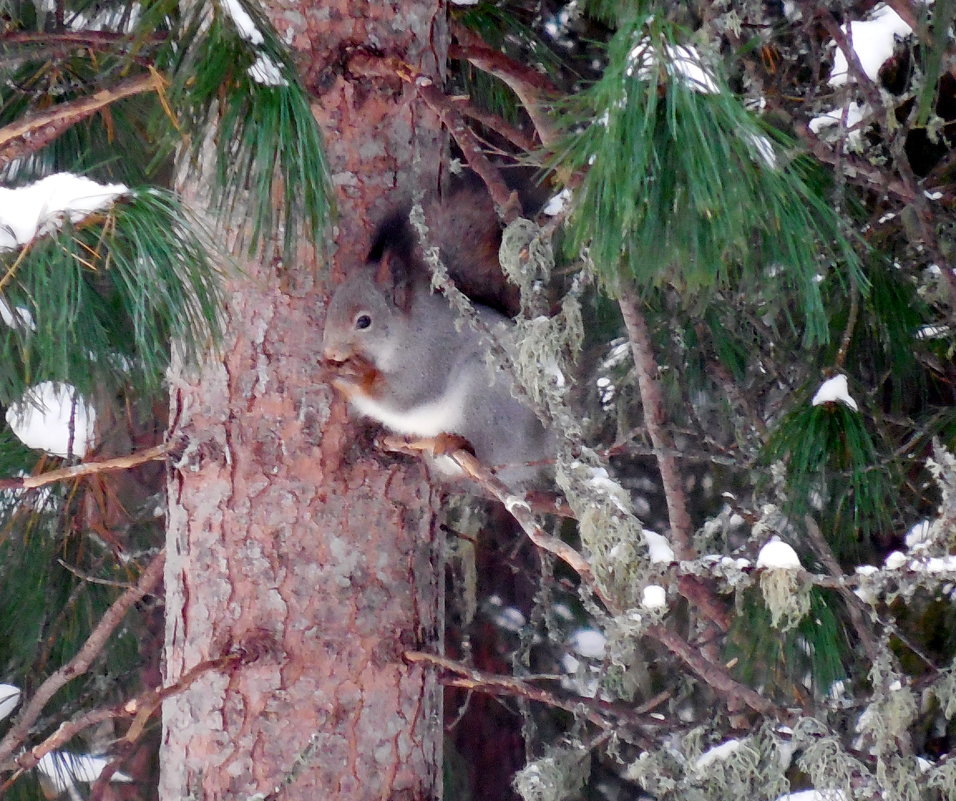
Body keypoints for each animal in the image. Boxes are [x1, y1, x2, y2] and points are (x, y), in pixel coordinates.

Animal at [322, 180, 552, 488]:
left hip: (486, 396)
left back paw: (456, 442)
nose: (329, 351)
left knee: (491, 455)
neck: (404, 332)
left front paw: (357, 376)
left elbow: (403, 395)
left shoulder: (429, 354)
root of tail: (543, 446)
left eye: (364, 321)